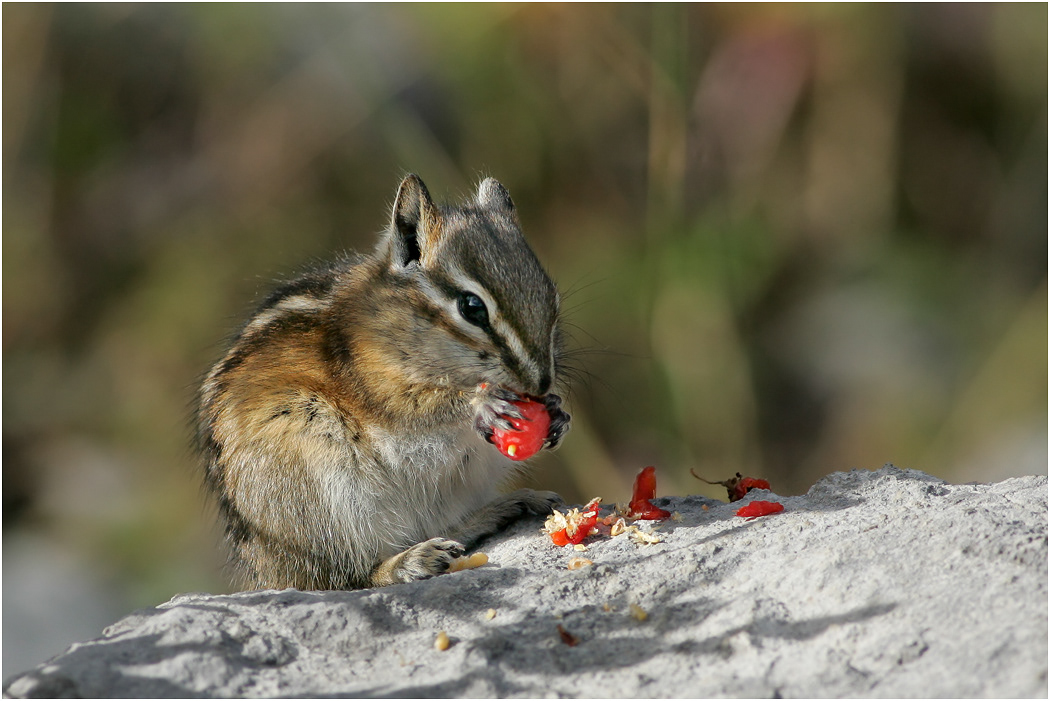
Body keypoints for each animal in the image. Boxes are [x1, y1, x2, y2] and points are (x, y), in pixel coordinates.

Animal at [196, 174, 571, 591]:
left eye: (550, 295)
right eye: (472, 307)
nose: (541, 383)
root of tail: (270, 570)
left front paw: (557, 413)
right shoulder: (372, 382)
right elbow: (418, 407)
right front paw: (480, 405)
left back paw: (502, 508)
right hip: (316, 482)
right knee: (353, 574)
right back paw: (412, 560)